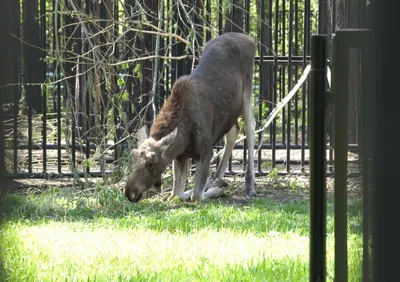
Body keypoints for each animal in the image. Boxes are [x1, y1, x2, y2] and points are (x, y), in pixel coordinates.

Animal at [125, 32, 256, 202]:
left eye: (151, 163)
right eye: (133, 157)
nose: (130, 193)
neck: (184, 136)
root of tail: (250, 39)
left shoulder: (206, 151)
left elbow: (196, 196)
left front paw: (214, 190)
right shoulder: (180, 156)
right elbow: (177, 193)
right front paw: (212, 184)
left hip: (247, 94)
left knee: (251, 128)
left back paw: (249, 186)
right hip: (229, 111)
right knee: (234, 131)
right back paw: (217, 178)